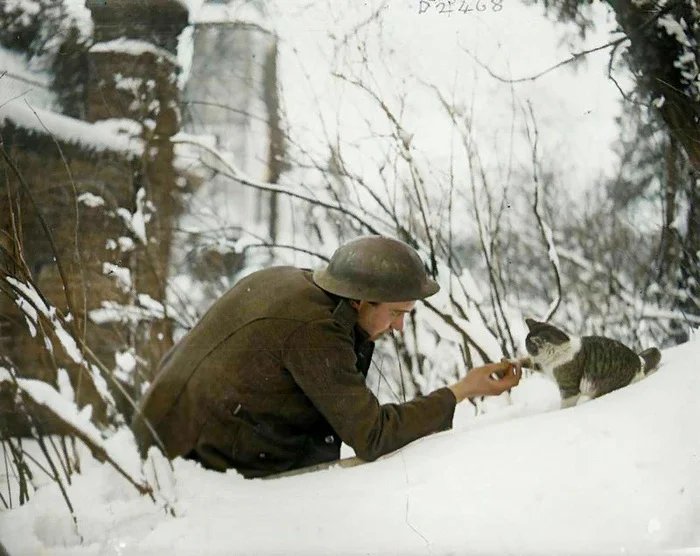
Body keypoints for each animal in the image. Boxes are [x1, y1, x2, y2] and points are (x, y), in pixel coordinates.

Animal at [520, 318, 660, 408]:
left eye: (528, 346)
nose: (529, 354)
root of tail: (639, 363)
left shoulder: (569, 389)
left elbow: (566, 406)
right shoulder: (544, 367)